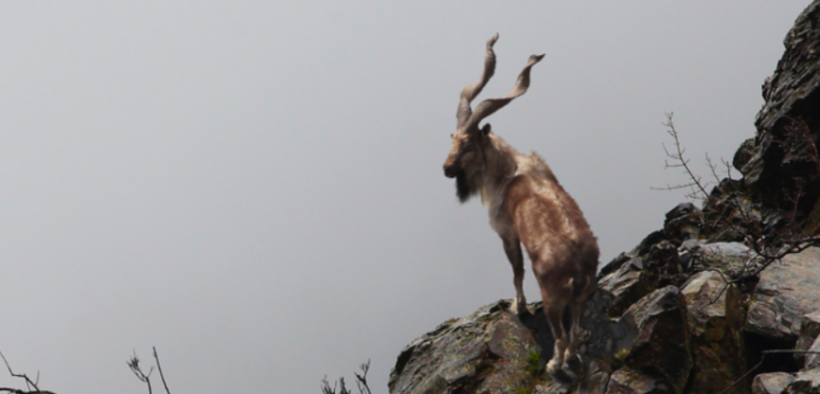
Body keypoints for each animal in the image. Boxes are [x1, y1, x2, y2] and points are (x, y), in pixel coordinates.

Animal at [446, 34, 600, 376]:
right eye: (452, 138)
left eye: (468, 143)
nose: (447, 168)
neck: (508, 172)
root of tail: (579, 267)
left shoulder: (507, 234)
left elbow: (516, 271)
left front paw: (519, 307)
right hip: (582, 298)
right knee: (575, 330)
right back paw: (572, 358)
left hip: (554, 296)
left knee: (560, 334)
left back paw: (554, 365)